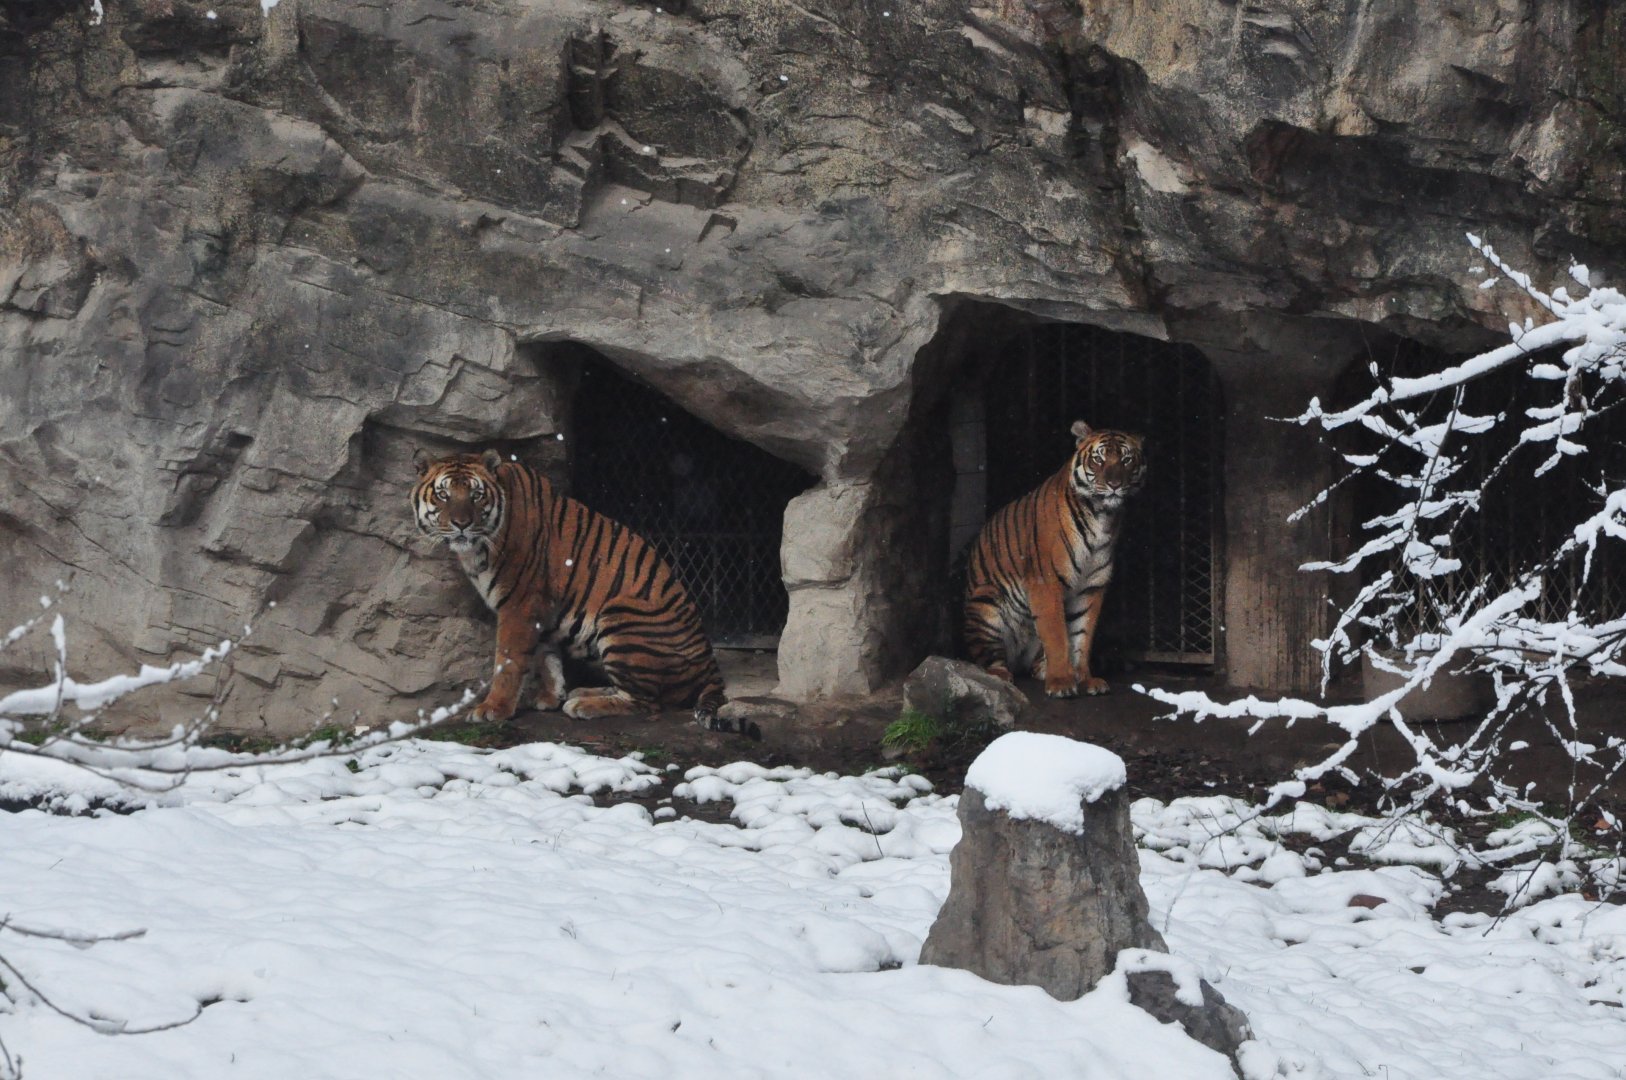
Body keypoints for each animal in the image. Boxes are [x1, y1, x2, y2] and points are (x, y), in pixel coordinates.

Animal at [411, 448, 730, 728]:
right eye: (443, 494)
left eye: (476, 495)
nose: (461, 524)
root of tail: (710, 666)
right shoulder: (541, 608)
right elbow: (547, 658)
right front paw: (551, 697)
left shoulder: (520, 604)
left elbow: (508, 661)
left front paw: (493, 709)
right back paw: (582, 693)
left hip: (621, 614)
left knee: (646, 701)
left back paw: (583, 705)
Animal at [963, 420, 1146, 698]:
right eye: (1099, 459)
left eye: (1126, 460)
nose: (1114, 484)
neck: (1102, 517)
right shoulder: (1046, 582)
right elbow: (1056, 633)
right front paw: (1061, 682)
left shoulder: (1091, 587)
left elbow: (1081, 636)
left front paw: (1084, 679)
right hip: (986, 602)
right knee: (989, 658)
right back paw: (1002, 675)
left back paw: (1042, 669)